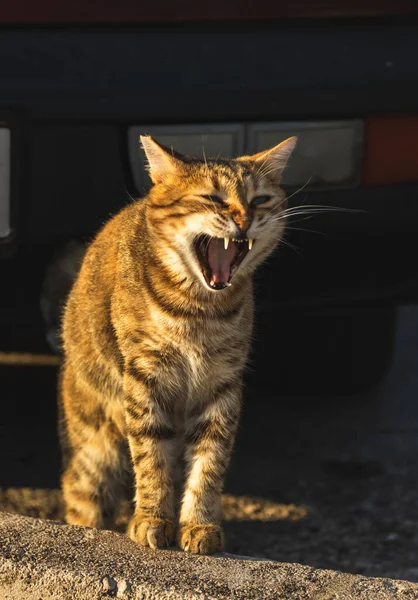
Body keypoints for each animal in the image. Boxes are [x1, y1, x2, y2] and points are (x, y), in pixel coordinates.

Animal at [59, 135, 298, 552]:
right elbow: (150, 456)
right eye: (213, 198)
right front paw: (152, 519)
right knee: (82, 490)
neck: (199, 311)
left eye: (259, 200)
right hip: (96, 444)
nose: (244, 220)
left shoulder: (223, 383)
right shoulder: (145, 375)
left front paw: (199, 524)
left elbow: (209, 461)